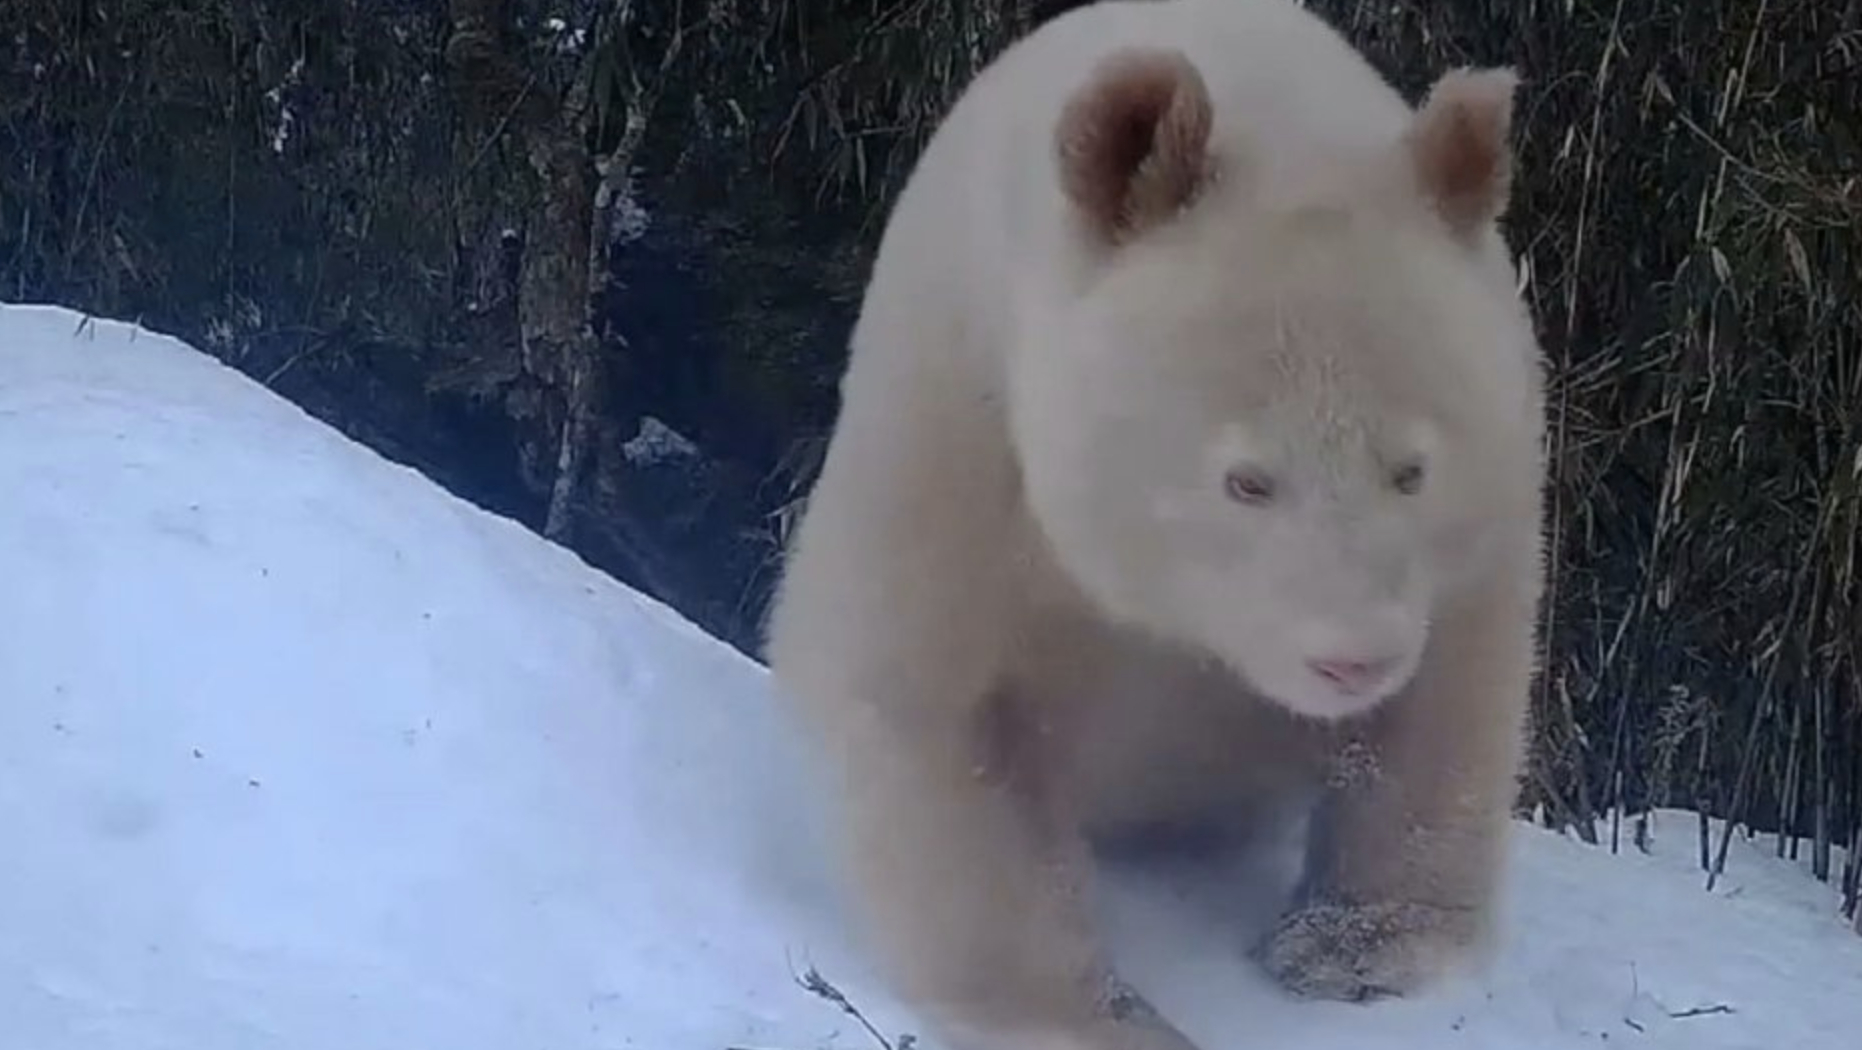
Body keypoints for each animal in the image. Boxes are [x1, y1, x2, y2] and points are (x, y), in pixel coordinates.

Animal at [762, 1, 1548, 1049]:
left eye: (1411, 470)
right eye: (1246, 481)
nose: (1355, 661)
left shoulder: (1490, 495)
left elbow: (1452, 693)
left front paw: (1352, 949)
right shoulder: (964, 422)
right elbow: (929, 702)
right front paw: (1093, 1015)